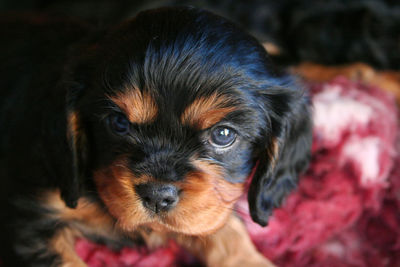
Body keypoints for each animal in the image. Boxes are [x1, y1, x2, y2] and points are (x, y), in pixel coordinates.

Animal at [0, 6, 312, 267]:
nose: (157, 196)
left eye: (223, 135)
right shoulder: (31, 218)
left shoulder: (210, 206)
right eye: (119, 123)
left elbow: (225, 229)